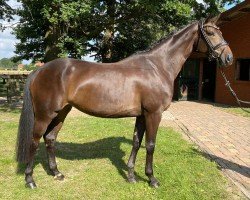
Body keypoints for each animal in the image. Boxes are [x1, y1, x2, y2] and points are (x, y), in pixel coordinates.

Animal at [16, 16, 233, 189]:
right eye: (211, 32)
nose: (228, 58)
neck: (157, 66)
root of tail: (39, 70)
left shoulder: (142, 115)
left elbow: (137, 142)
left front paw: (130, 176)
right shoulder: (154, 114)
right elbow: (151, 145)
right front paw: (152, 179)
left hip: (61, 112)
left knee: (50, 139)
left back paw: (56, 173)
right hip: (44, 114)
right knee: (34, 141)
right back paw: (30, 180)